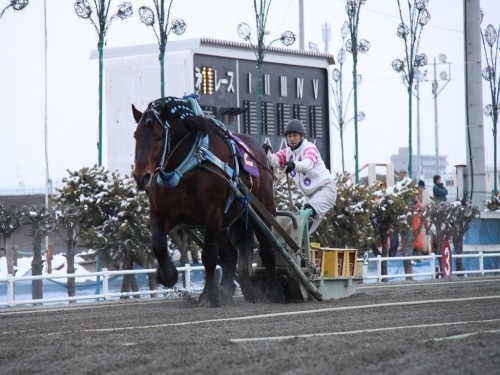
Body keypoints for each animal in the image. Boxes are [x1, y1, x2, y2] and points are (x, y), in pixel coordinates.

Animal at [131, 95, 284, 306]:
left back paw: (274, 292)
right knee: (230, 255)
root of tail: (259, 149)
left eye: (159, 137)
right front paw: (168, 275)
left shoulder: (212, 214)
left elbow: (209, 256)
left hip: (261, 211)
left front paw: (208, 296)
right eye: (136, 135)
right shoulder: (159, 213)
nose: (141, 177)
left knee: (267, 250)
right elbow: (158, 244)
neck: (185, 168)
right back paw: (228, 291)